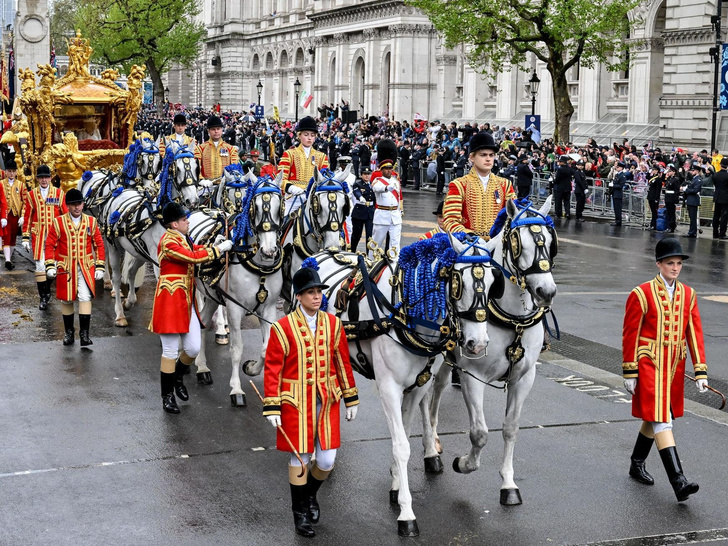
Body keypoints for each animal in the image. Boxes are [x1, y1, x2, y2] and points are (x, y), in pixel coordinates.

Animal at [195, 171, 286, 404]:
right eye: (255, 207)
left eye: (279, 206)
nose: (269, 251)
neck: (259, 267)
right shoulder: (234, 307)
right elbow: (236, 349)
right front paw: (236, 389)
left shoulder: (268, 308)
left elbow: (266, 347)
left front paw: (252, 368)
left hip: (212, 294)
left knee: (202, 323)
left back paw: (202, 367)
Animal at [310, 232, 504, 532]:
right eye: (457, 283)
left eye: (495, 282)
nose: (478, 343)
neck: (403, 315)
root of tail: (321, 253)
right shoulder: (389, 388)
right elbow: (401, 446)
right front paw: (406, 512)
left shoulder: (417, 387)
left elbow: (406, 432)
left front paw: (396, 483)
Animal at [426, 197, 556, 506]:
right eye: (518, 241)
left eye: (549, 239)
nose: (546, 292)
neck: (513, 318)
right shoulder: (472, 374)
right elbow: (480, 433)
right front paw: (464, 463)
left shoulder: (523, 378)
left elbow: (510, 428)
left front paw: (508, 484)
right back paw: (430, 452)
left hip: (448, 360)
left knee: (438, 389)